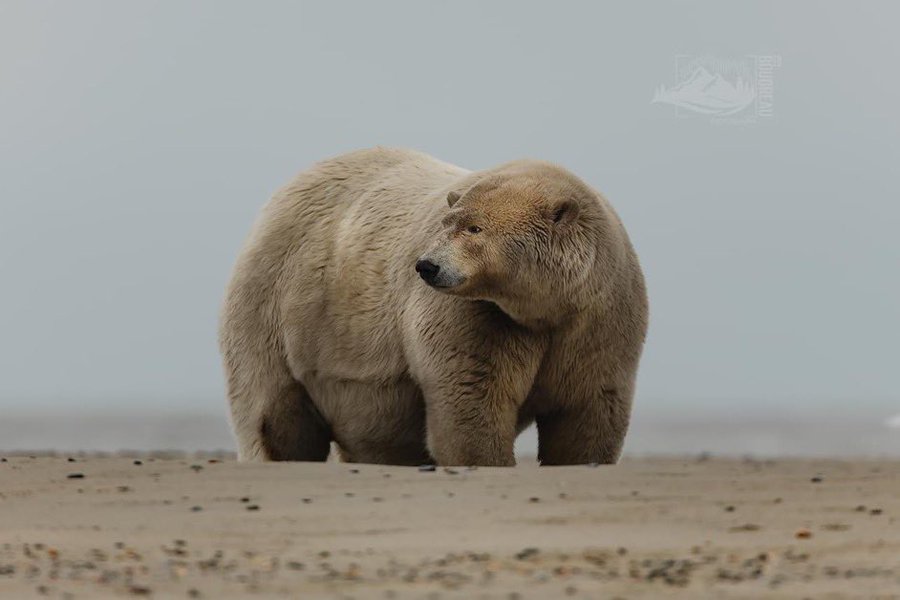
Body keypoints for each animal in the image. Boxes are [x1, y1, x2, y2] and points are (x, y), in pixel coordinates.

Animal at [221, 148, 652, 466]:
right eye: (449, 223)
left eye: (475, 228)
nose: (427, 265)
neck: (545, 308)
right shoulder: (478, 315)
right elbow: (471, 392)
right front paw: (486, 459)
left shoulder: (601, 317)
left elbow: (588, 409)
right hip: (279, 307)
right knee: (271, 412)